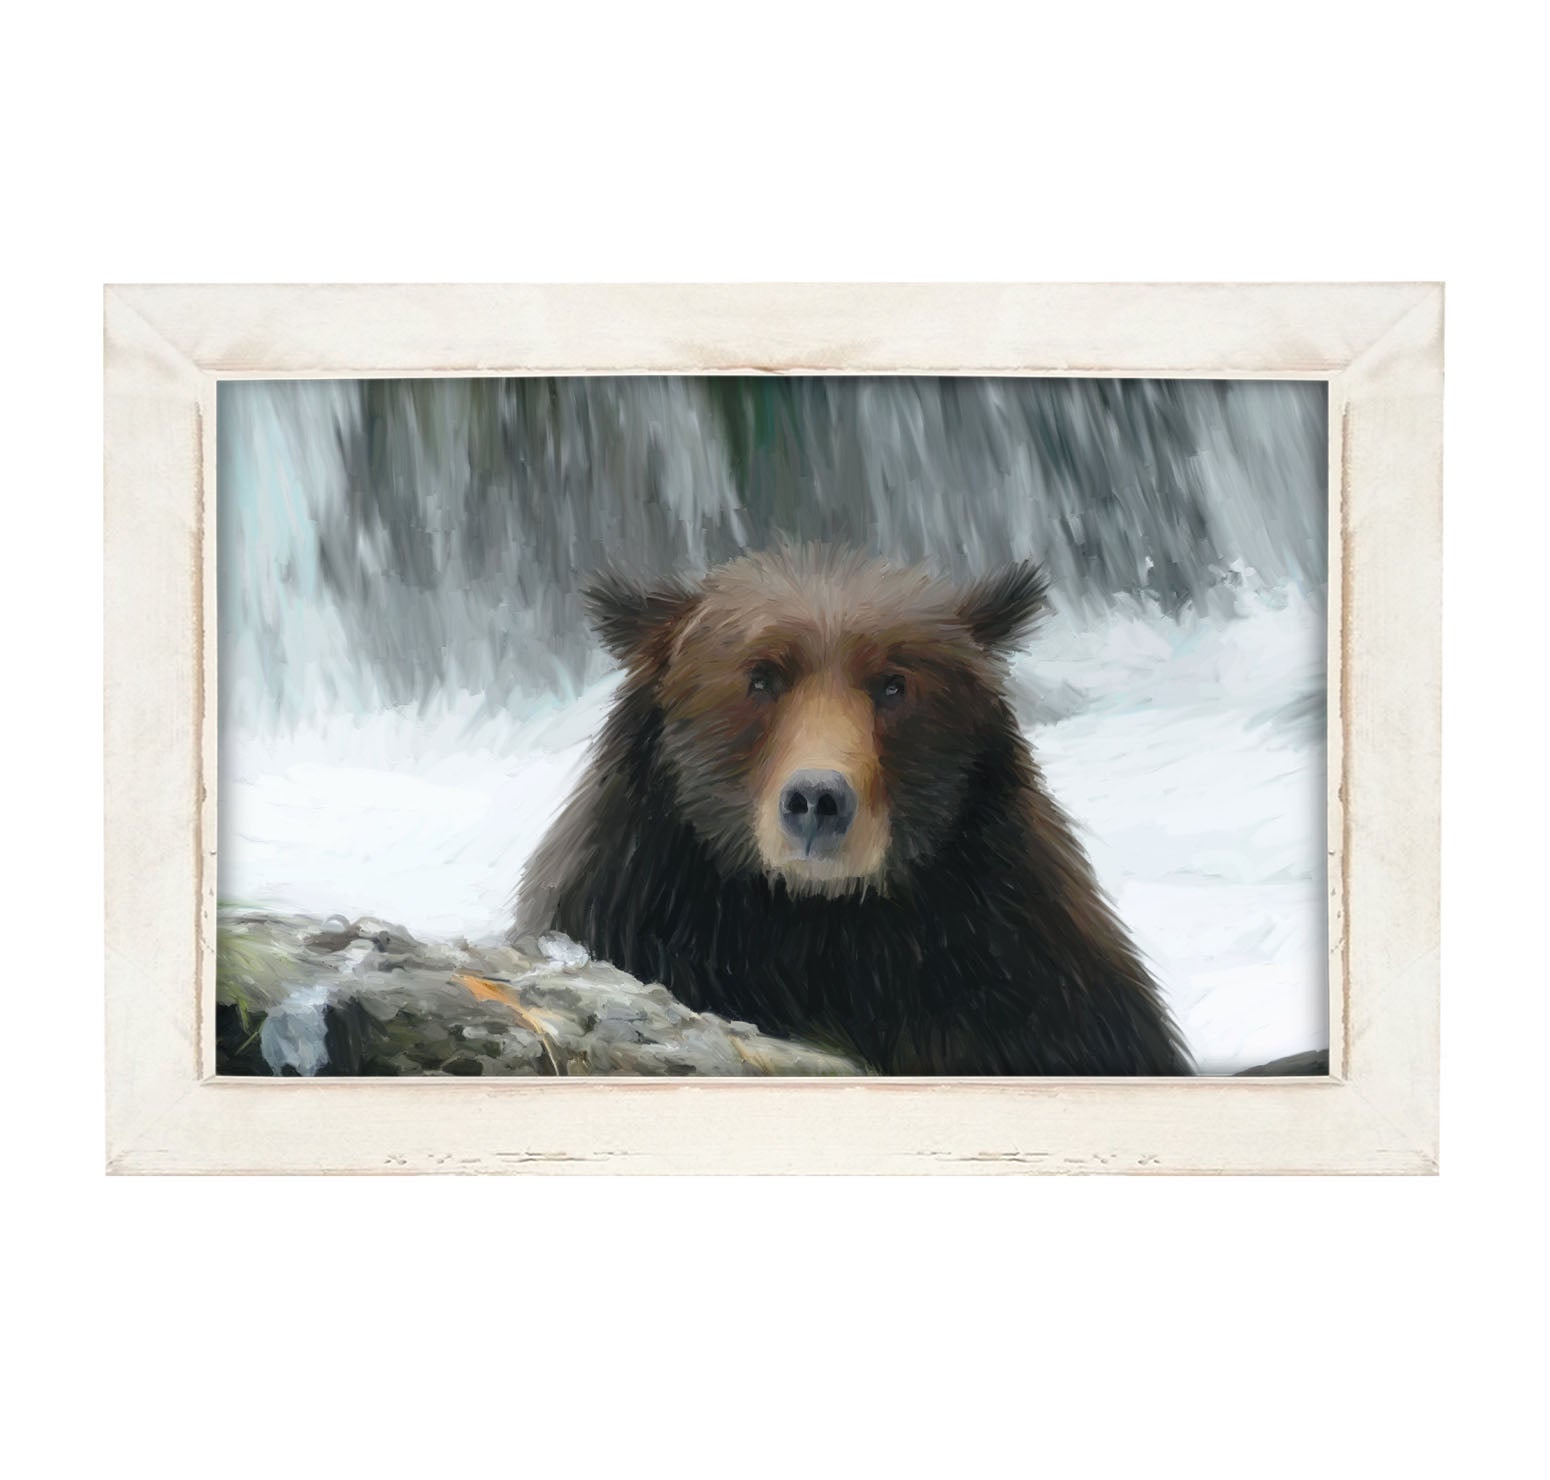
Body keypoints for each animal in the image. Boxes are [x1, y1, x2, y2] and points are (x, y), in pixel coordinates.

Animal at [516, 545, 1190, 1076]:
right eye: (761, 676)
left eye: (893, 684)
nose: (817, 800)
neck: (820, 926)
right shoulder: (635, 909)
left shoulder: (1025, 974)